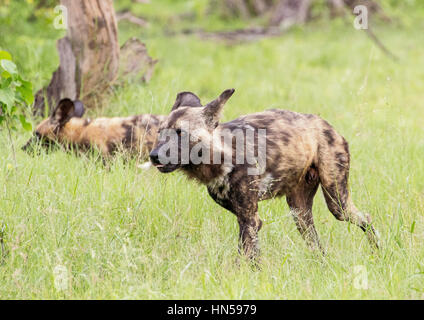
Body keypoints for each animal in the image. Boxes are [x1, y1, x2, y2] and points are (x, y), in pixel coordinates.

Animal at [152, 89, 380, 258]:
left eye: (181, 133)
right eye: (160, 133)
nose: (153, 155)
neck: (221, 155)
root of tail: (327, 126)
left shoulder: (249, 219)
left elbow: (245, 258)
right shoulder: (249, 219)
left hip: (337, 203)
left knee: (366, 218)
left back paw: (377, 253)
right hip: (300, 213)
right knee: (317, 246)